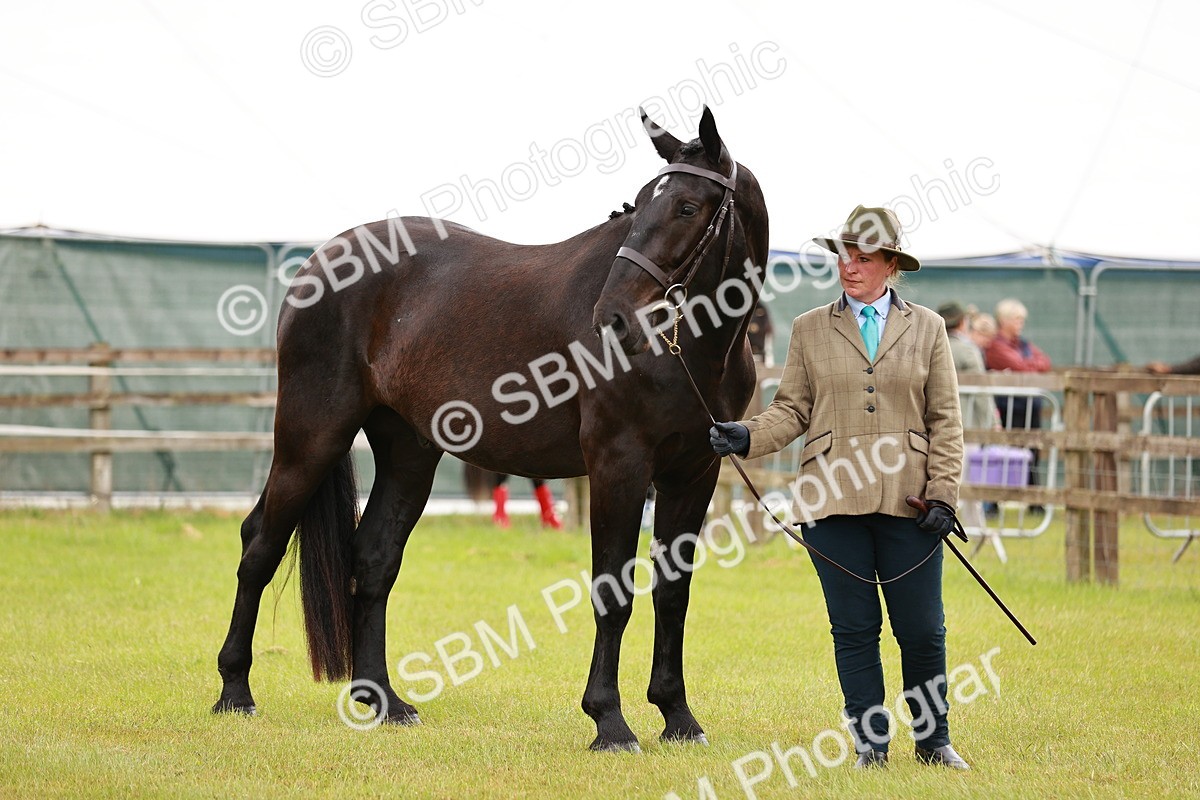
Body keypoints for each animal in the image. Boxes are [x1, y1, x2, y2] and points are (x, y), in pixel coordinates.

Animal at [211, 106, 770, 752]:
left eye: (686, 206)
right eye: (640, 203)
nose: (613, 318)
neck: (692, 348)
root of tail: (321, 261)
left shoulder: (693, 473)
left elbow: (672, 594)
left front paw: (678, 717)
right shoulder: (618, 466)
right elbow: (613, 592)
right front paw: (609, 721)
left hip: (408, 453)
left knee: (372, 560)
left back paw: (384, 702)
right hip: (310, 438)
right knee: (260, 544)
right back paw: (234, 692)